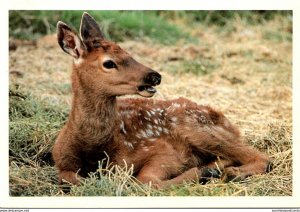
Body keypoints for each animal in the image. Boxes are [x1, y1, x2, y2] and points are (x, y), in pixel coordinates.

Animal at [52, 12, 272, 189]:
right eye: (108, 63)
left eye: (127, 52)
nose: (154, 76)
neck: (95, 150)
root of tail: (225, 120)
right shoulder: (61, 160)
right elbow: (69, 178)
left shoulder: (162, 150)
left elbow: (146, 180)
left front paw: (203, 172)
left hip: (195, 127)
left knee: (263, 157)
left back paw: (228, 172)